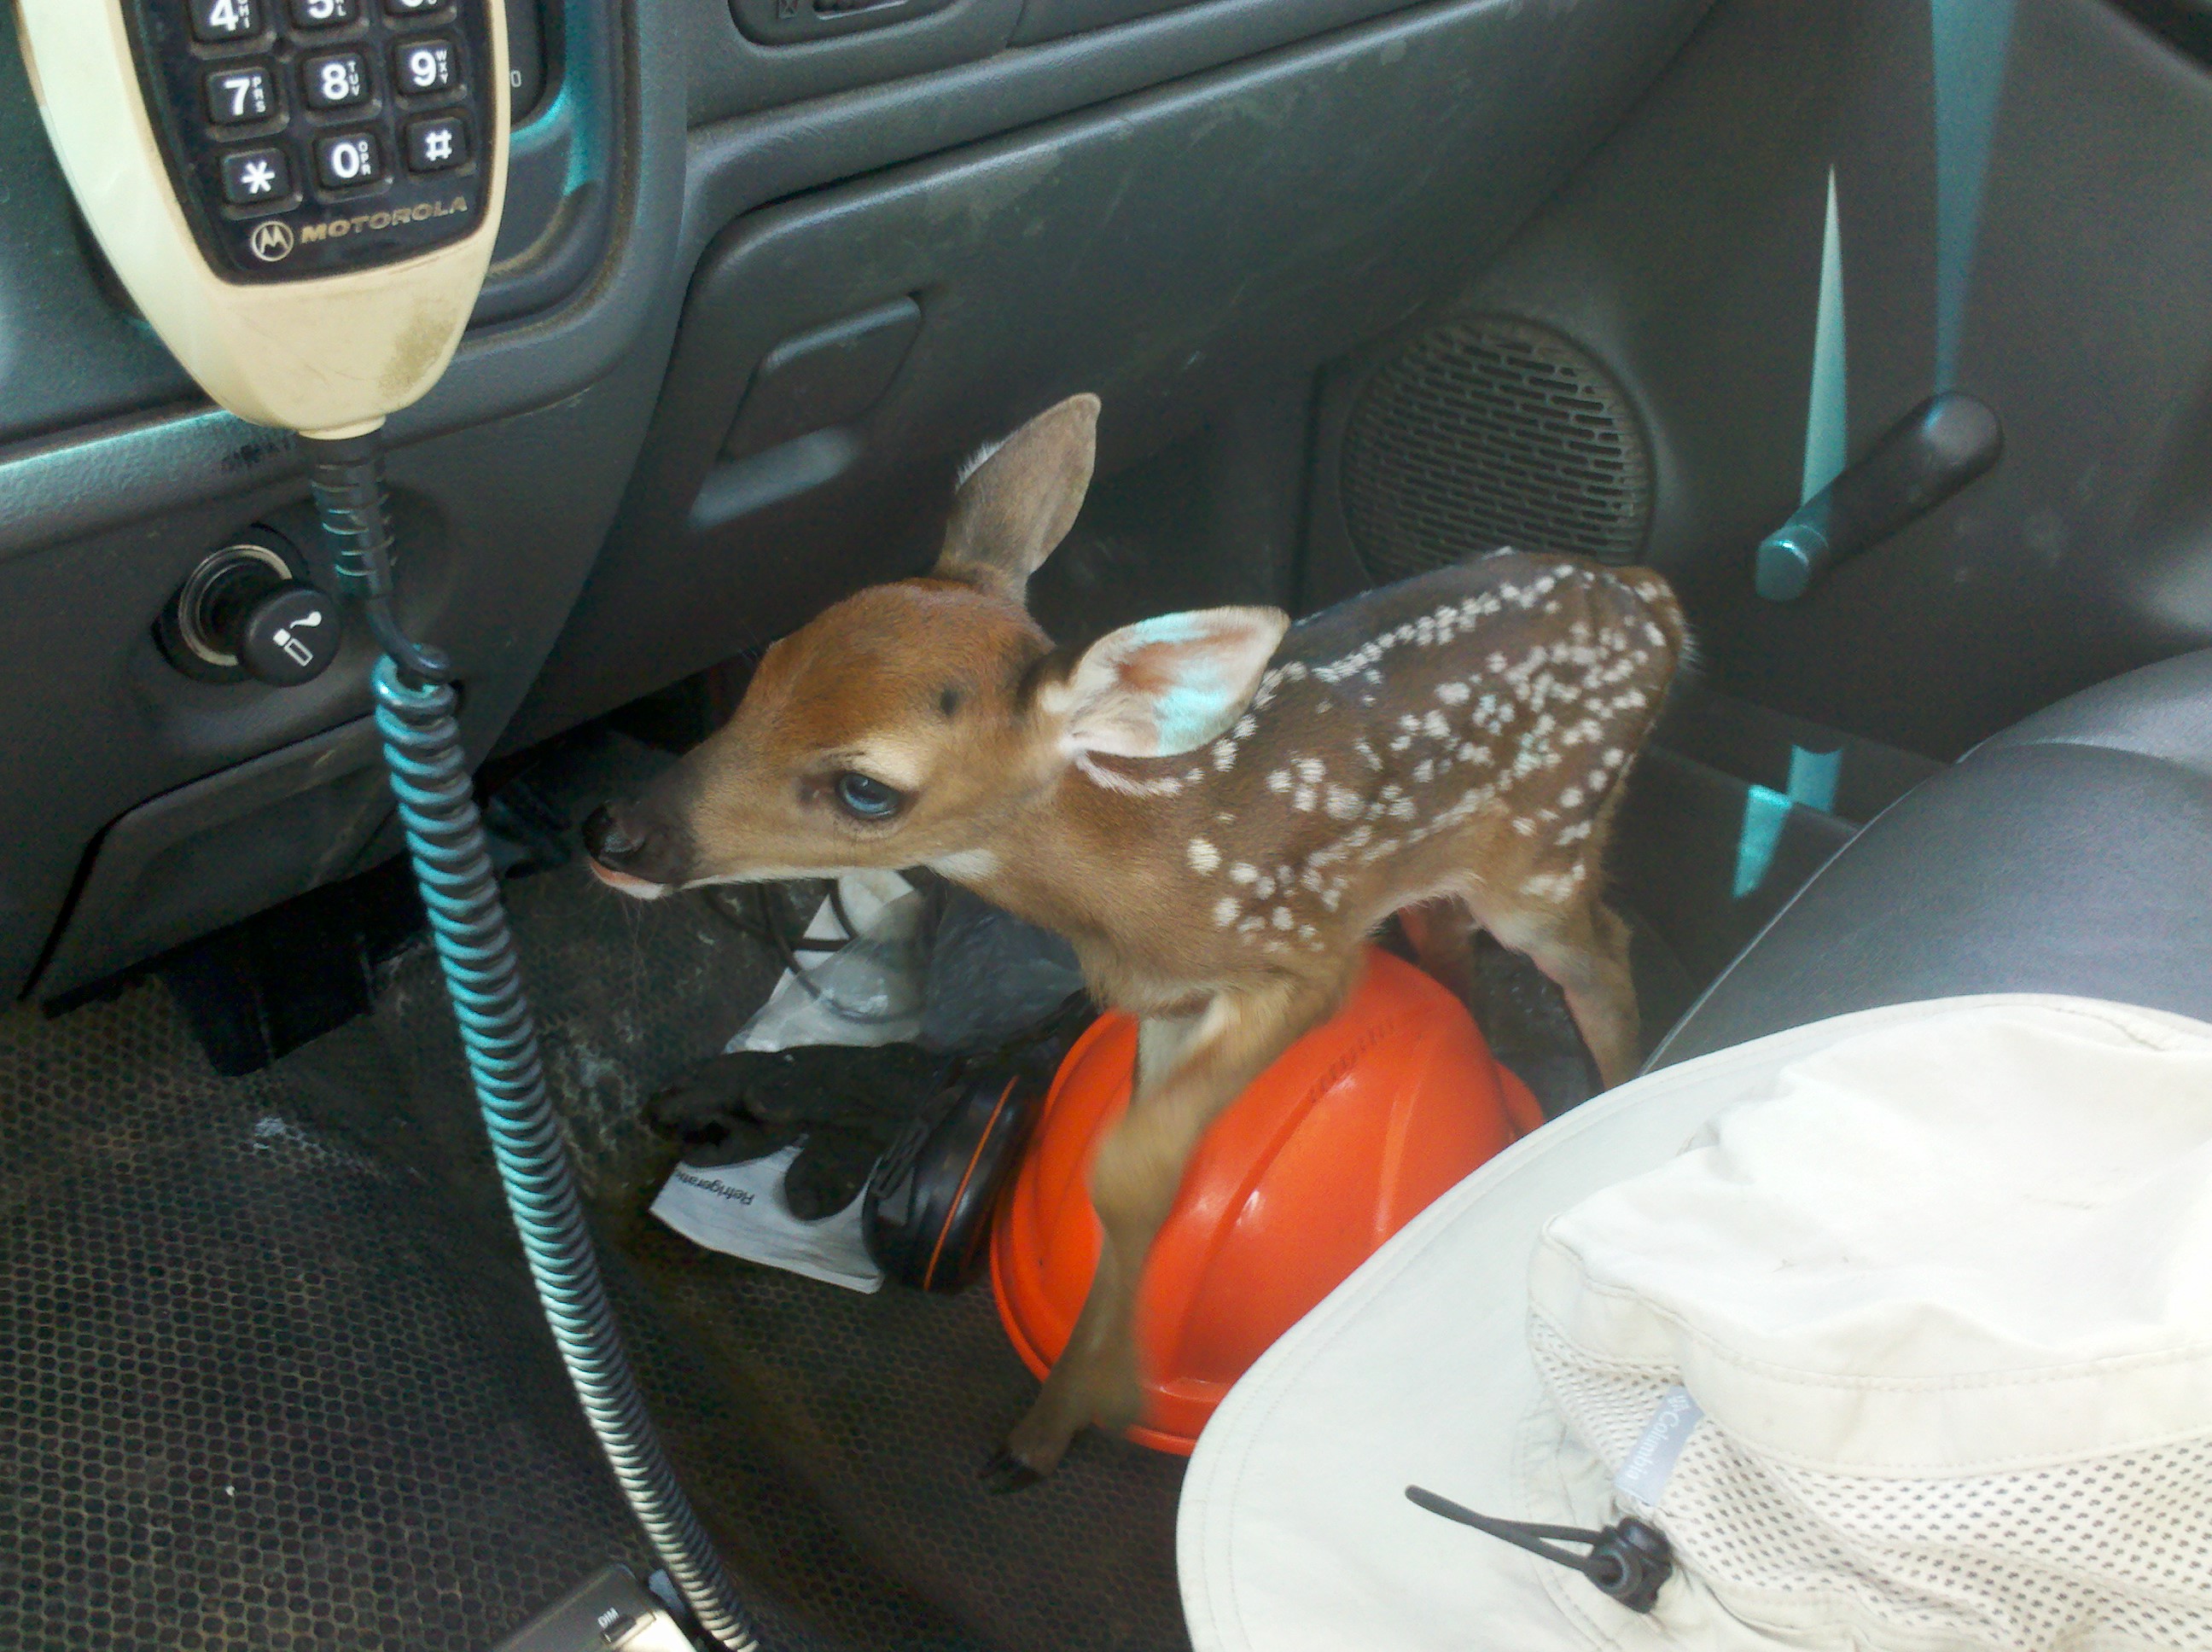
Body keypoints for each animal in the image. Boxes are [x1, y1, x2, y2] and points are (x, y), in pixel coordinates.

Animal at [582, 393, 1687, 1487]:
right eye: (768, 666)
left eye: (866, 788)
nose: (614, 834)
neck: (1146, 880)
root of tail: (1651, 598)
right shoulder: (1168, 999)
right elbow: (1132, 1178)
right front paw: (1048, 1424)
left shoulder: (1301, 956)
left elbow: (1133, 1168)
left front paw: (1097, 1406)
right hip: (1445, 860)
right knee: (1454, 926)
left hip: (1543, 855)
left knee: (1609, 950)